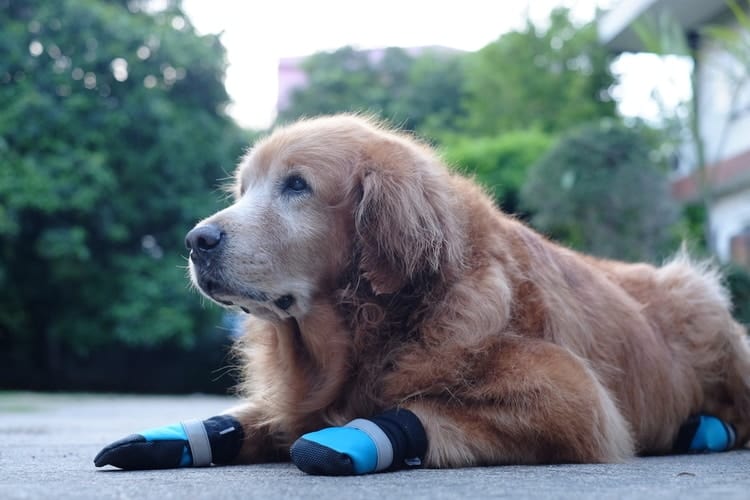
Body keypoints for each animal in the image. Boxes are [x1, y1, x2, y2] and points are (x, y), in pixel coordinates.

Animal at [184, 115, 750, 466]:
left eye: (297, 185)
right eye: (243, 190)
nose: (195, 241)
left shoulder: (572, 397)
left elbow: (426, 409)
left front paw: (351, 435)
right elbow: (259, 417)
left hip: (702, 304)